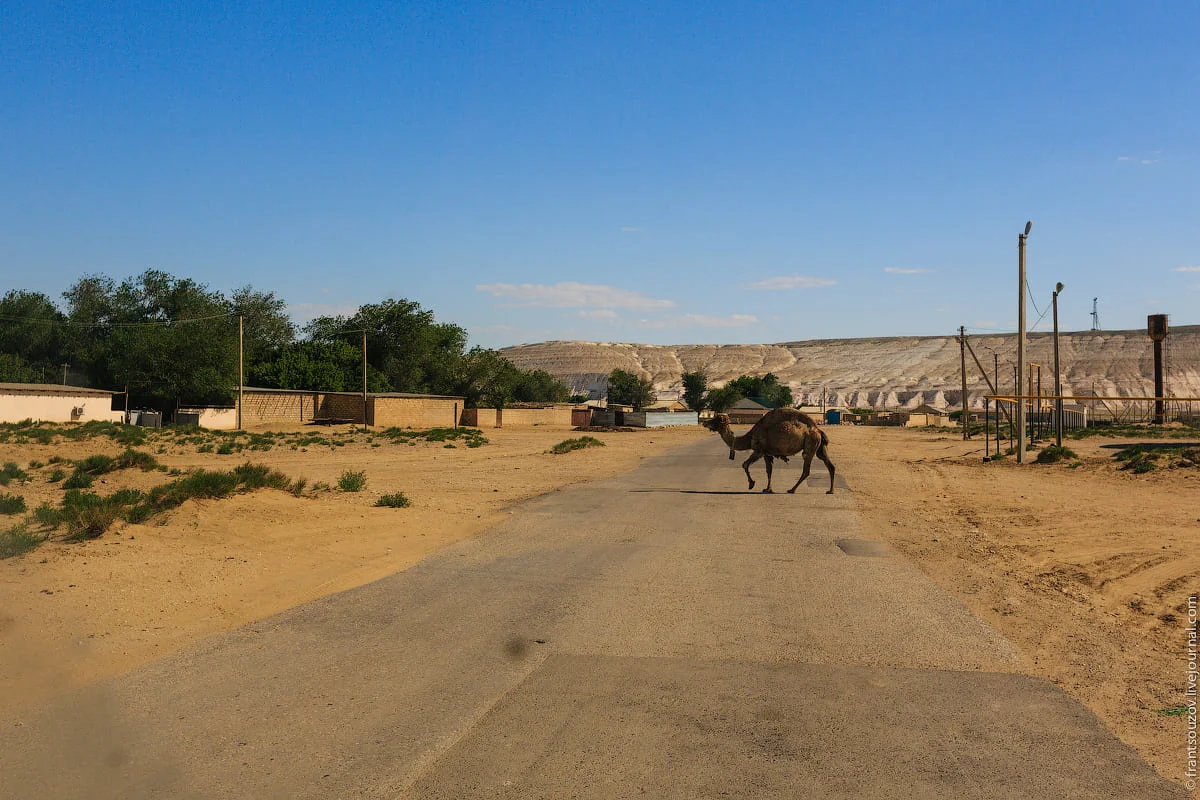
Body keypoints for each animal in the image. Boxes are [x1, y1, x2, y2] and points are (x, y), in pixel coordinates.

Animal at [700, 412, 835, 494]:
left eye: (716, 420)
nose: (704, 423)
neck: (750, 437)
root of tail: (818, 430)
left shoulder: (759, 450)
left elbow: (745, 464)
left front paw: (751, 484)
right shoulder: (767, 453)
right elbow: (768, 470)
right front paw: (767, 489)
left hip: (810, 444)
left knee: (806, 469)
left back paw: (792, 489)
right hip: (819, 448)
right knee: (830, 466)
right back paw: (830, 490)